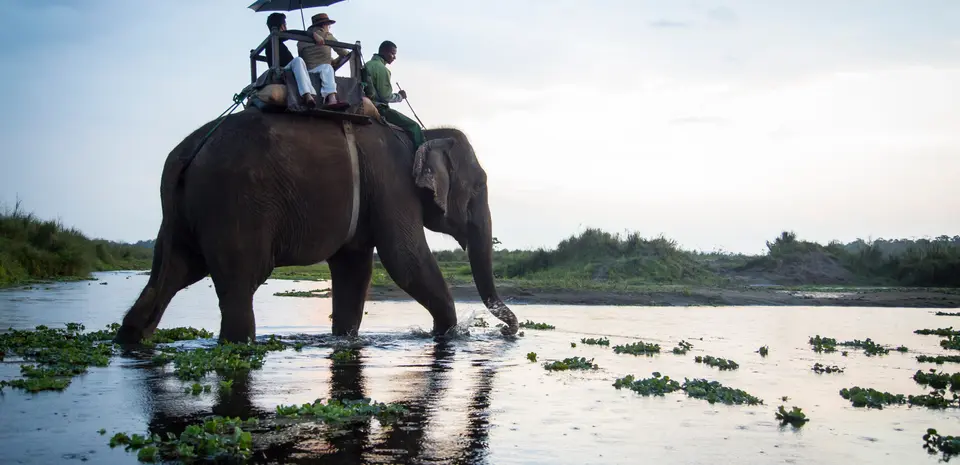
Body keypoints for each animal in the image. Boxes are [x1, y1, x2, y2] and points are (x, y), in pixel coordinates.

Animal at [115, 106, 520, 344]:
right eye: (480, 186)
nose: (510, 329)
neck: (422, 133)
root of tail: (188, 153)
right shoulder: (392, 183)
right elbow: (405, 259)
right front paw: (447, 334)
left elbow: (355, 267)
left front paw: (345, 339)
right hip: (235, 205)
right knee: (239, 283)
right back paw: (238, 345)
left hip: (185, 212)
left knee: (172, 272)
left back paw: (131, 340)